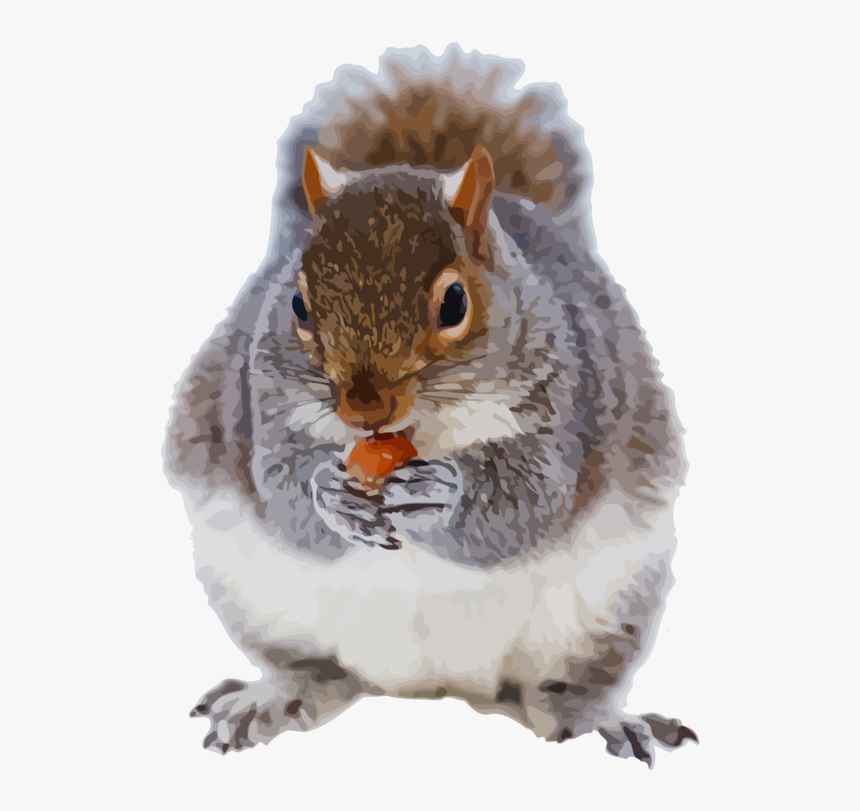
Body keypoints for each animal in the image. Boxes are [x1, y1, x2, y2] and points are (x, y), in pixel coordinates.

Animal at [165, 44, 697, 766]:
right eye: (297, 302)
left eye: (454, 303)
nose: (364, 409)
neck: (415, 432)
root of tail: (431, 685)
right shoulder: (257, 406)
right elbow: (281, 495)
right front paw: (327, 495)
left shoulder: (570, 406)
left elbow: (530, 504)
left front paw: (441, 494)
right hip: (257, 599)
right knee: (319, 673)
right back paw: (273, 696)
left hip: (609, 610)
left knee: (562, 690)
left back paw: (596, 719)